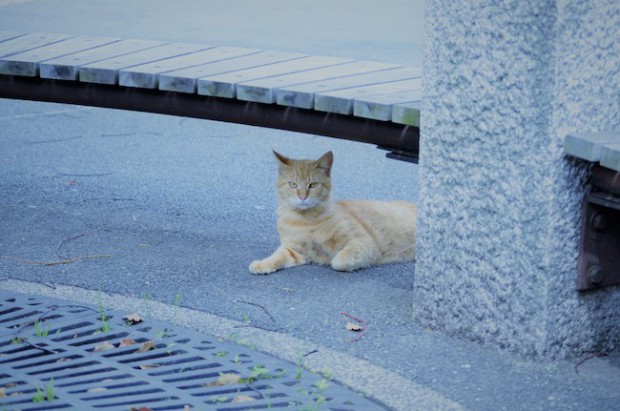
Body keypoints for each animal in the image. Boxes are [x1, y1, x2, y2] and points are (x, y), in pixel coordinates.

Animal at [248, 150, 416, 276]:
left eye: (313, 184)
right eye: (293, 184)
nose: (302, 197)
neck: (306, 220)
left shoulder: (362, 242)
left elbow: (338, 262)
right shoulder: (294, 250)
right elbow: (278, 256)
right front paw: (262, 264)